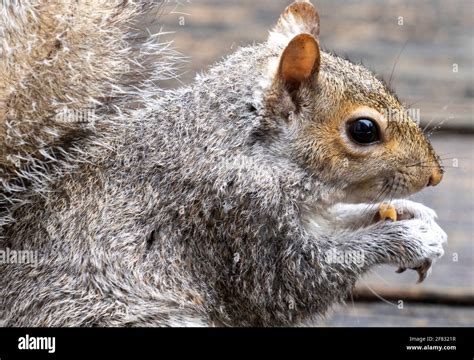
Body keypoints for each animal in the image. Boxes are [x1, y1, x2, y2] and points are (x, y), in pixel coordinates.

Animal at [0, 0, 446, 326]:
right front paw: (406, 239)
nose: (436, 175)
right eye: (364, 130)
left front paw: (412, 214)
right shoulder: (233, 214)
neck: (247, 147)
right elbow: (293, 284)